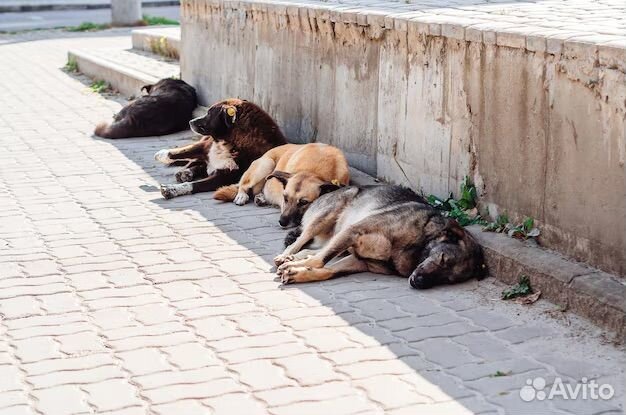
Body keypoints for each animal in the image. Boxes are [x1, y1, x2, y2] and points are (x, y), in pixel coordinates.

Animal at [154, 99, 286, 200]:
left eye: (209, 114)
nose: (190, 121)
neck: (230, 142)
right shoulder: (205, 147)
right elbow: (184, 151)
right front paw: (162, 154)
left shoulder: (223, 177)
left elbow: (194, 185)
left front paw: (172, 189)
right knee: (195, 160)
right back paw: (185, 171)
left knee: (202, 166)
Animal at [272, 185, 482, 290]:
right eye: (443, 259)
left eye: (449, 280)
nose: (419, 283)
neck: (418, 244)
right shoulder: (354, 231)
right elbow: (319, 261)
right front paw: (295, 266)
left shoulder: (358, 261)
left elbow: (327, 270)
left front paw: (298, 272)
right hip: (328, 215)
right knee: (302, 241)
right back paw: (286, 255)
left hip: (335, 240)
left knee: (312, 249)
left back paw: (294, 258)